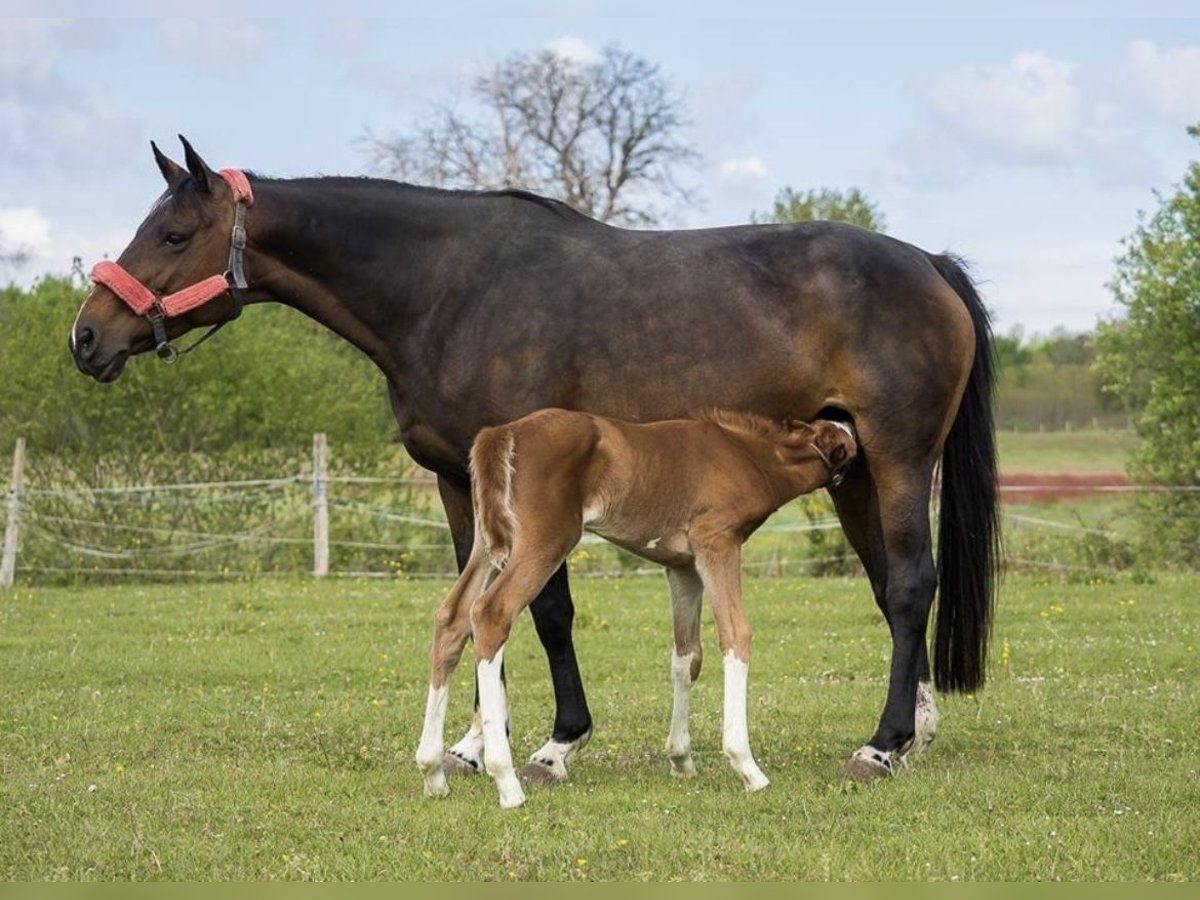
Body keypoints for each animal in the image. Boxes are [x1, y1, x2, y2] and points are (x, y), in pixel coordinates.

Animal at [417, 410, 859, 811]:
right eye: (848, 448)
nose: (857, 429)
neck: (747, 454)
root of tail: (500, 434)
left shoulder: (682, 567)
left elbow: (687, 656)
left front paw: (681, 758)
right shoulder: (717, 542)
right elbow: (736, 634)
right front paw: (747, 767)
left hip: (489, 544)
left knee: (452, 618)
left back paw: (433, 770)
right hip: (543, 542)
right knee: (491, 614)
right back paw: (506, 783)